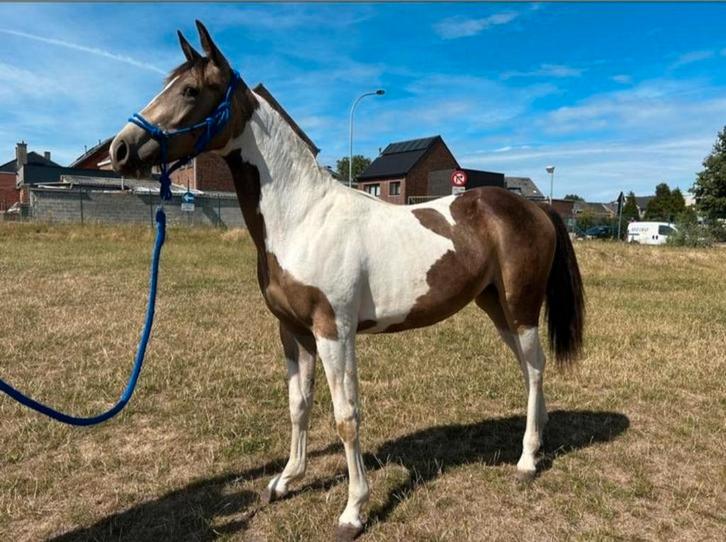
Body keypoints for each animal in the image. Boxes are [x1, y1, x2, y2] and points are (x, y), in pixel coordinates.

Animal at [110, 21, 584, 541]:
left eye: (190, 90)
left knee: (535, 368)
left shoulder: (333, 332)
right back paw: (536, 441)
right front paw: (286, 480)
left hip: (521, 306)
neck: (302, 217)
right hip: (495, 305)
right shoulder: (293, 330)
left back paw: (527, 461)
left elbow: (346, 418)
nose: (120, 148)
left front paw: (354, 510)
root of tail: (534, 208)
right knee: (527, 368)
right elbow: (299, 405)